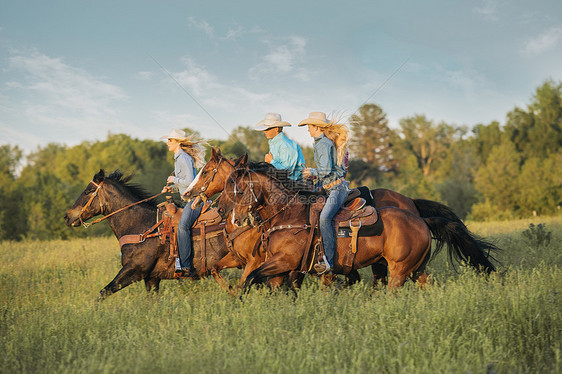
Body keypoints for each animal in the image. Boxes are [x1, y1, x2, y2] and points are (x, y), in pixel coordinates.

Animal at [65, 169, 230, 298]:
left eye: (88, 191)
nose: (67, 216)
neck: (142, 227)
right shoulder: (151, 278)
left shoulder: (134, 270)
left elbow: (104, 292)